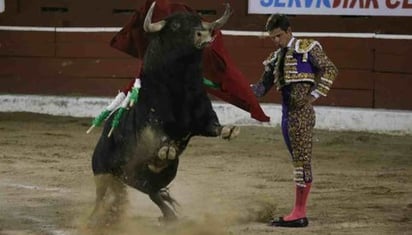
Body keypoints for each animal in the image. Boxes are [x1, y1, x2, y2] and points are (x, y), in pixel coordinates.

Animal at [88, 2, 237, 226]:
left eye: (197, 22)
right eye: (175, 26)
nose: (203, 35)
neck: (180, 87)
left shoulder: (202, 119)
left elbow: (214, 126)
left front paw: (230, 130)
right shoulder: (152, 122)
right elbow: (159, 133)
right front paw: (167, 148)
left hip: (150, 175)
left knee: (152, 192)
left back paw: (168, 215)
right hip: (102, 172)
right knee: (102, 197)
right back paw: (95, 219)